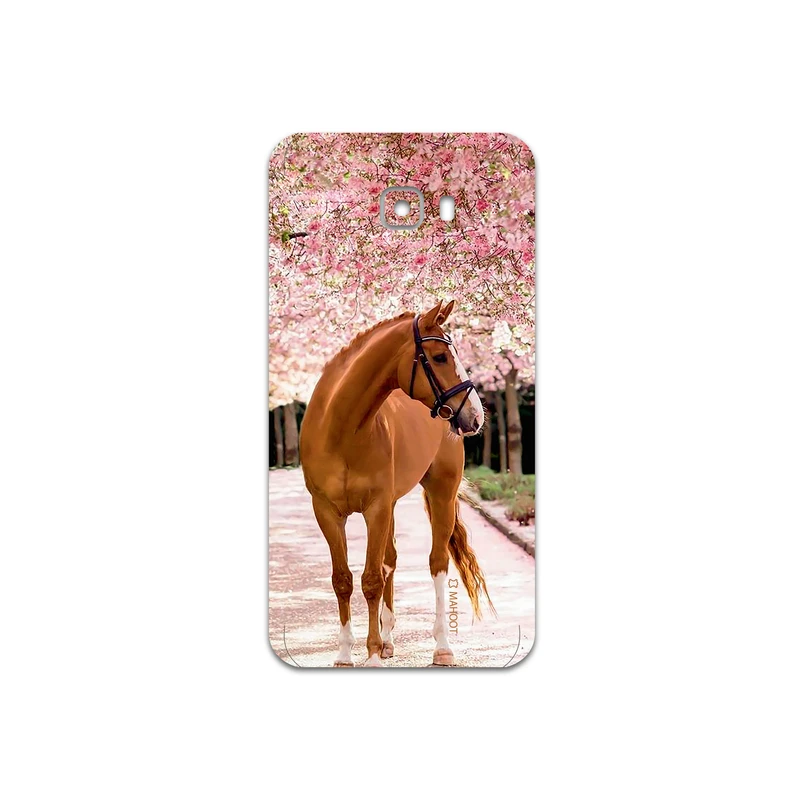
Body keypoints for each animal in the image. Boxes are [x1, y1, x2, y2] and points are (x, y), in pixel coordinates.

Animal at [299, 300, 494, 667]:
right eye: (440, 357)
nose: (475, 416)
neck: (342, 431)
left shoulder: (375, 508)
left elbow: (371, 579)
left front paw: (372, 654)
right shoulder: (328, 512)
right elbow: (343, 579)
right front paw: (346, 654)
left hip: (441, 493)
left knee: (437, 563)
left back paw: (441, 647)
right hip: (390, 506)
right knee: (390, 560)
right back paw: (388, 640)